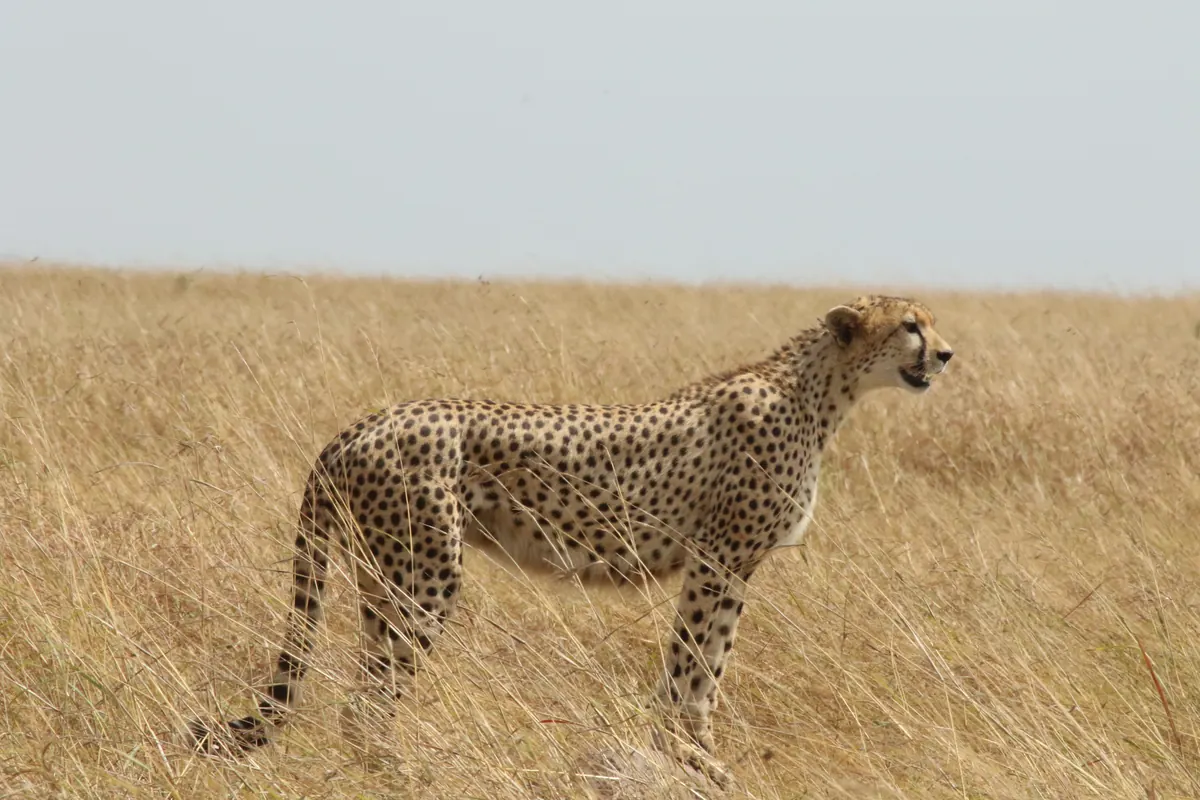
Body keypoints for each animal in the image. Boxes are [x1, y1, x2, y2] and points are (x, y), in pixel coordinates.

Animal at [186, 294, 954, 787]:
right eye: (909, 325)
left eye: (931, 323)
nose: (946, 354)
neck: (822, 390)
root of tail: (357, 426)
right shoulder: (719, 561)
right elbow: (696, 666)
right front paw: (693, 758)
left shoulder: (728, 566)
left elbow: (705, 665)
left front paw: (691, 756)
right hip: (424, 577)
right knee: (370, 695)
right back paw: (403, 775)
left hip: (383, 575)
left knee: (366, 686)